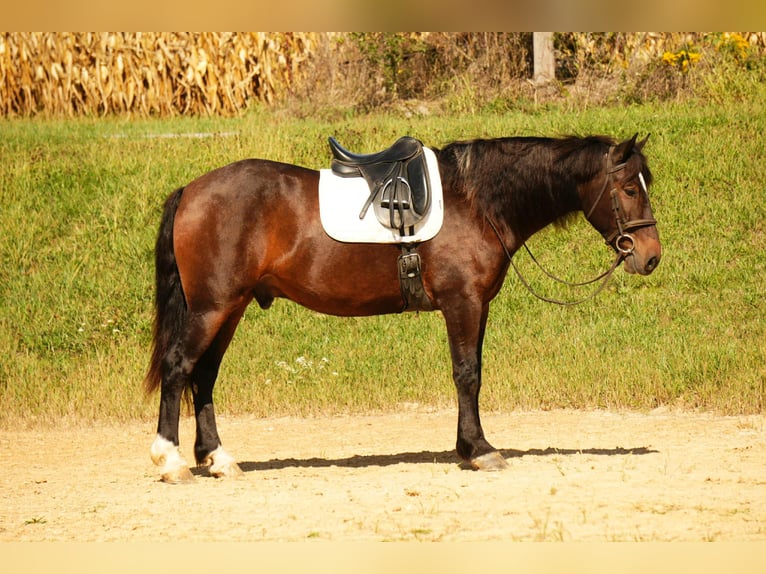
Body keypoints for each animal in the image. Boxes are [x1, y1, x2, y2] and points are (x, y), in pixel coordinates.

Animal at [144, 133, 661, 483]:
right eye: (630, 189)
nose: (651, 256)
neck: (476, 201)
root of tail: (191, 190)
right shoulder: (462, 303)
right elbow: (467, 374)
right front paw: (479, 449)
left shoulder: (478, 306)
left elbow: (473, 372)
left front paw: (468, 446)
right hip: (212, 308)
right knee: (178, 367)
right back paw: (171, 460)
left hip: (229, 309)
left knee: (204, 375)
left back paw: (218, 458)